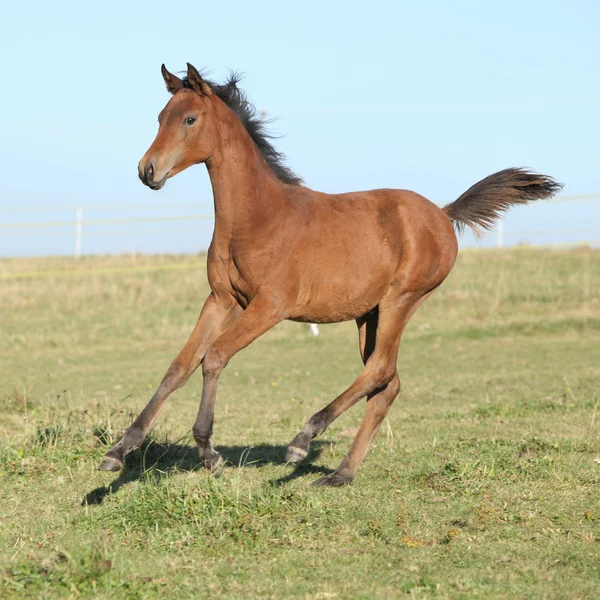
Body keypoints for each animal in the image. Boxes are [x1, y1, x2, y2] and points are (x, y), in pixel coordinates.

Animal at [98, 64, 564, 488]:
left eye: (190, 119)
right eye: (160, 117)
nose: (148, 170)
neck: (257, 218)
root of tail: (443, 214)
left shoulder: (270, 306)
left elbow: (214, 357)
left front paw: (209, 451)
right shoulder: (221, 300)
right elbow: (179, 366)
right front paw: (119, 451)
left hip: (401, 300)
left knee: (379, 371)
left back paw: (302, 441)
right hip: (368, 314)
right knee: (387, 382)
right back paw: (341, 473)